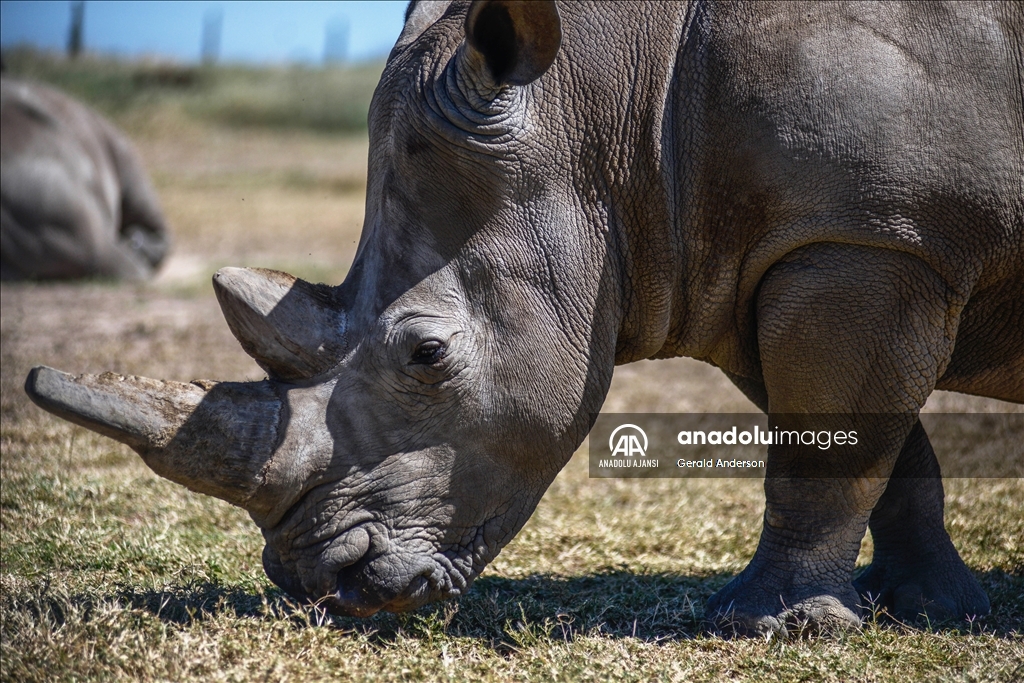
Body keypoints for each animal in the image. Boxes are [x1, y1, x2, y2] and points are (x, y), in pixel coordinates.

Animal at [28, 0, 1019, 634]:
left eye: (426, 353)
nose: (325, 581)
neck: (613, 104)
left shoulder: (868, 235)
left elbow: (829, 444)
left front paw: (771, 625)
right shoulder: (776, 251)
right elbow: (871, 440)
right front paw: (930, 605)